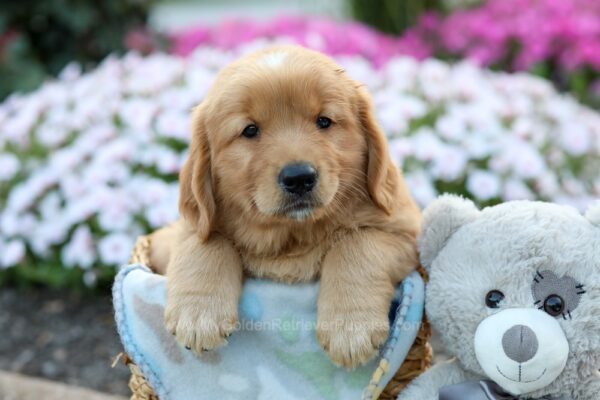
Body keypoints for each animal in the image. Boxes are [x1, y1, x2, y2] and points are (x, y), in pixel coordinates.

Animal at [152, 46, 420, 368]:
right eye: (250, 130)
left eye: (324, 121)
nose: (299, 178)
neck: (292, 235)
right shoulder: (184, 229)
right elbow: (205, 241)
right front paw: (198, 313)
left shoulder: (406, 232)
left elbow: (357, 243)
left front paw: (350, 329)